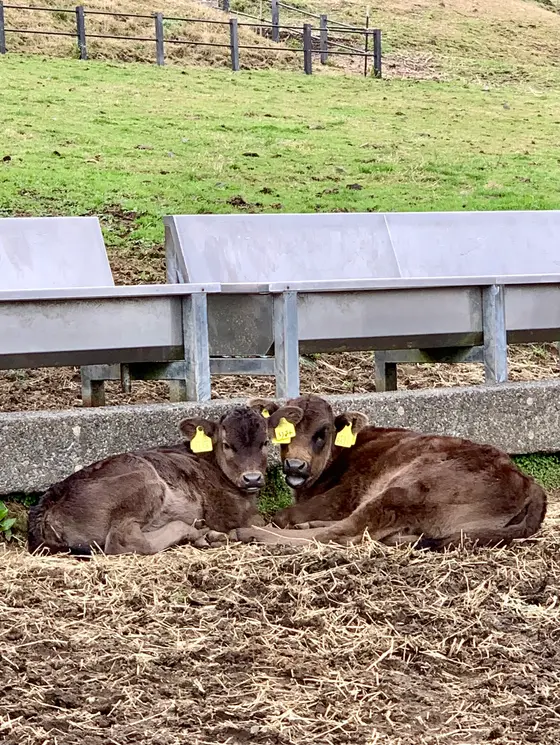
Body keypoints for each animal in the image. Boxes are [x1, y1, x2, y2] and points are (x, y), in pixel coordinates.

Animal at [29, 404, 274, 556]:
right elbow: (260, 521)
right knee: (123, 541)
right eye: (226, 445)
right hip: (147, 481)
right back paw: (199, 533)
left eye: (265, 443)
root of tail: (45, 507)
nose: (252, 478)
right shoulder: (224, 511)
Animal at [237, 396, 548, 548]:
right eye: (283, 431)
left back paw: (250, 532)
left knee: (347, 531)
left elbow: (284, 514)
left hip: (403, 490)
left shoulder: (347, 493)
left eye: (322, 433)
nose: (295, 466)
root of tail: (528, 482)